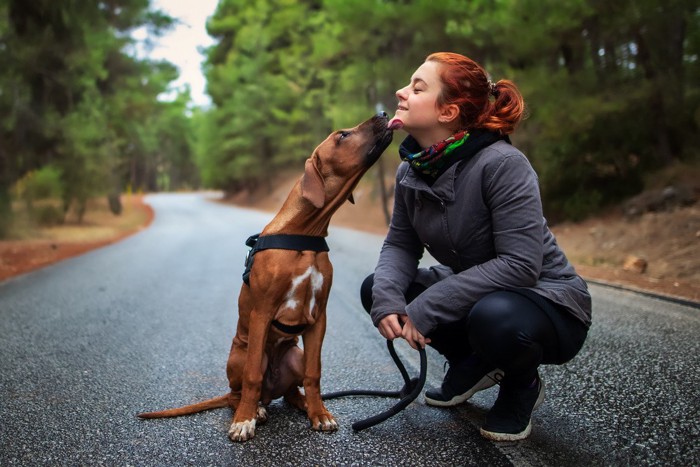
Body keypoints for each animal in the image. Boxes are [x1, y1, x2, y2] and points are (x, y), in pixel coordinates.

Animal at [138, 113, 394, 442]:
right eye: (343, 136)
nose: (384, 114)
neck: (304, 233)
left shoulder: (319, 318)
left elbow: (314, 373)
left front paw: (319, 413)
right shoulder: (261, 313)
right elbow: (251, 378)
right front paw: (243, 421)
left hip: (295, 355)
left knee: (291, 390)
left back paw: (301, 403)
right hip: (242, 356)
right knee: (239, 392)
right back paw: (253, 410)